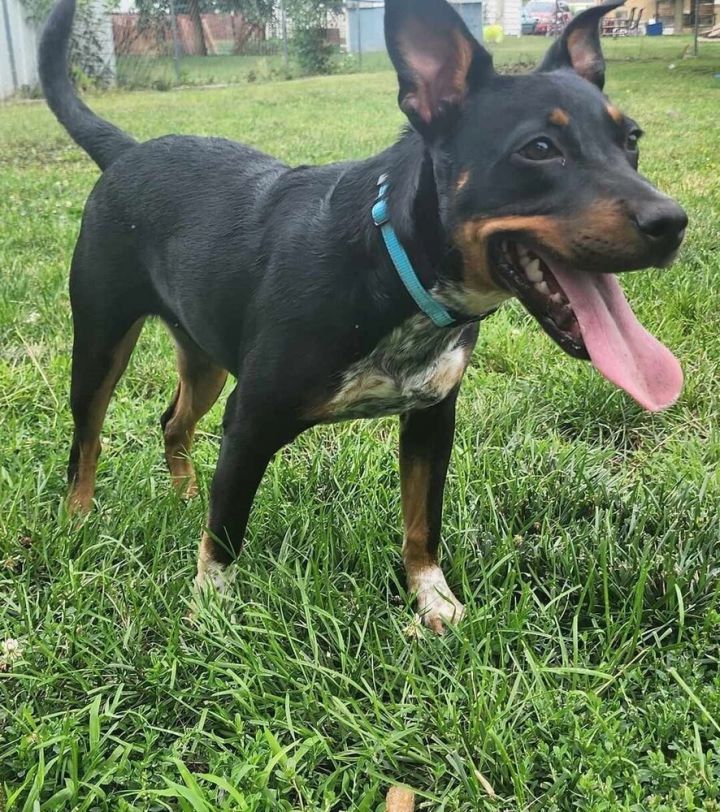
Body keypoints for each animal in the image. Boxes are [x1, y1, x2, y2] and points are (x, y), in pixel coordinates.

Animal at [39, 0, 688, 632]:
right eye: (539, 149)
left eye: (631, 138)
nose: (672, 222)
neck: (393, 264)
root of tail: (127, 151)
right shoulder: (248, 423)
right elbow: (224, 533)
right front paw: (209, 615)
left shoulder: (432, 419)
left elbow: (422, 523)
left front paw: (432, 600)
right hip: (99, 342)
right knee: (86, 440)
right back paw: (78, 519)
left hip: (203, 359)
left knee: (172, 421)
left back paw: (182, 495)